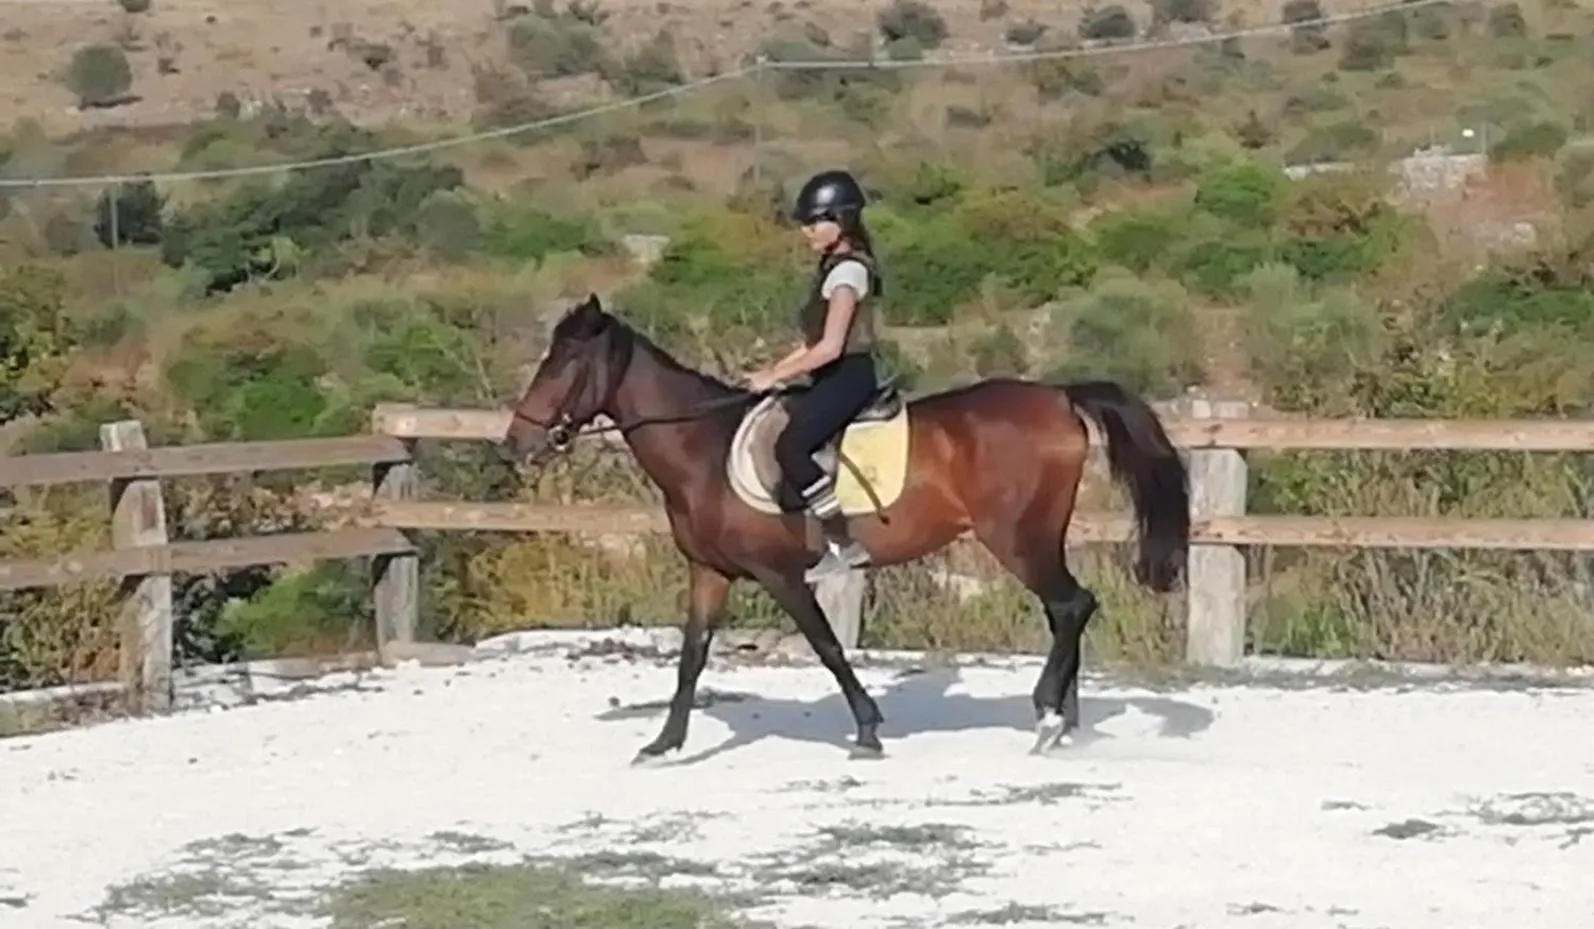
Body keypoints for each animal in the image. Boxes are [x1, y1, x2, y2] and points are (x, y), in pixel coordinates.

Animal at [503, 293, 1191, 762]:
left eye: (563, 364)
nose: (516, 445)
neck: (702, 448)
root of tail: (1058, 397)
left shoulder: (780, 575)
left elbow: (828, 647)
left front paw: (866, 730)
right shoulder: (710, 572)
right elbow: (691, 657)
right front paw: (665, 742)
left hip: (1016, 539)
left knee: (1073, 606)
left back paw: (1048, 717)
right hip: (1036, 539)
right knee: (1065, 610)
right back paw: (1063, 722)